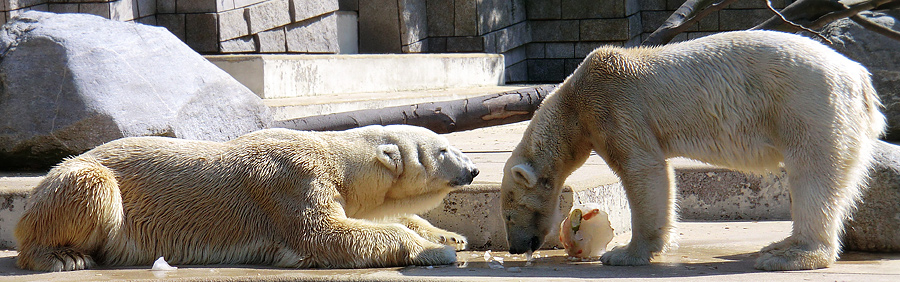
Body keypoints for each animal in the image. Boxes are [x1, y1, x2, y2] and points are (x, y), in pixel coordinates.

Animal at [14, 125, 478, 270]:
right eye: (443, 150)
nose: (473, 170)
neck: (335, 158)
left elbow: (373, 218)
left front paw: (450, 236)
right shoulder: (293, 182)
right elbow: (324, 234)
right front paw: (434, 252)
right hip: (80, 180)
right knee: (91, 186)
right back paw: (63, 257)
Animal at [500, 29, 884, 270]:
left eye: (508, 215)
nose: (516, 248)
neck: (574, 101)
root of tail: (860, 77)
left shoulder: (614, 107)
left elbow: (642, 169)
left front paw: (623, 254)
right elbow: (661, 173)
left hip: (809, 107)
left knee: (813, 174)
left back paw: (790, 256)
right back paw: (780, 245)